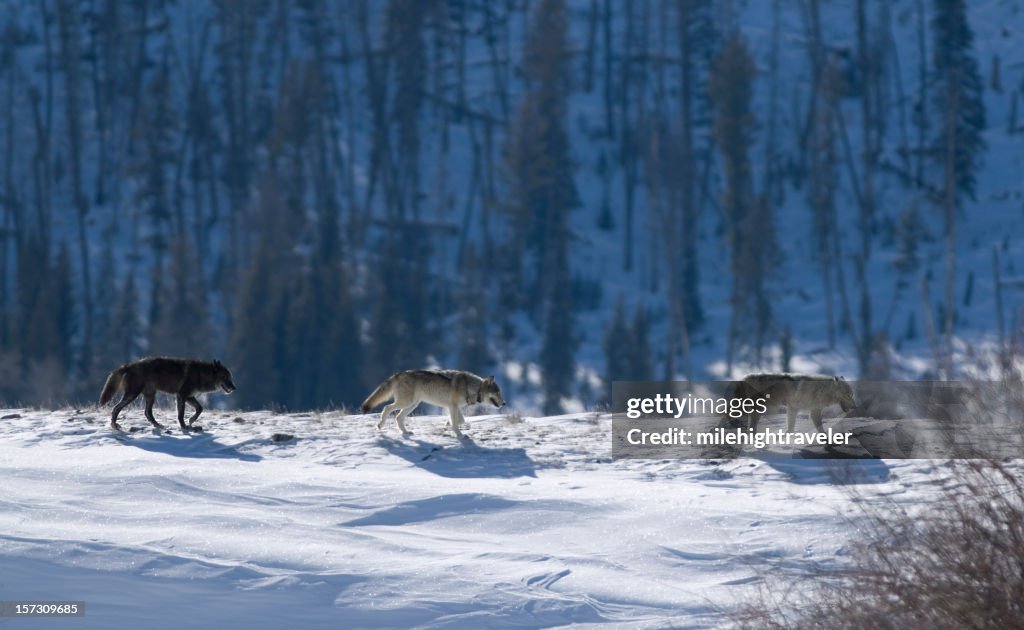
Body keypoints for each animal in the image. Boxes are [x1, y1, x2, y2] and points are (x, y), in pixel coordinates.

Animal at [98, 356, 235, 432]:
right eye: (225, 377)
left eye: (230, 378)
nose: (234, 388)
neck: (200, 374)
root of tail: (127, 366)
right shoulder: (181, 395)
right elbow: (180, 415)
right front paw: (185, 427)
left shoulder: (189, 397)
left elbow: (200, 409)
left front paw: (191, 421)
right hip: (133, 395)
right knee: (116, 408)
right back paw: (115, 426)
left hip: (150, 396)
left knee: (147, 413)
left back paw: (159, 426)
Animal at [362, 368, 505, 438]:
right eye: (497, 392)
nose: (504, 403)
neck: (471, 388)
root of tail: (398, 374)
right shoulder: (452, 406)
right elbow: (457, 423)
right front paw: (459, 434)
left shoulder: (453, 407)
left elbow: (460, 420)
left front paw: (448, 424)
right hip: (405, 403)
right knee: (387, 408)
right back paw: (380, 425)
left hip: (412, 405)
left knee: (397, 417)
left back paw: (406, 433)